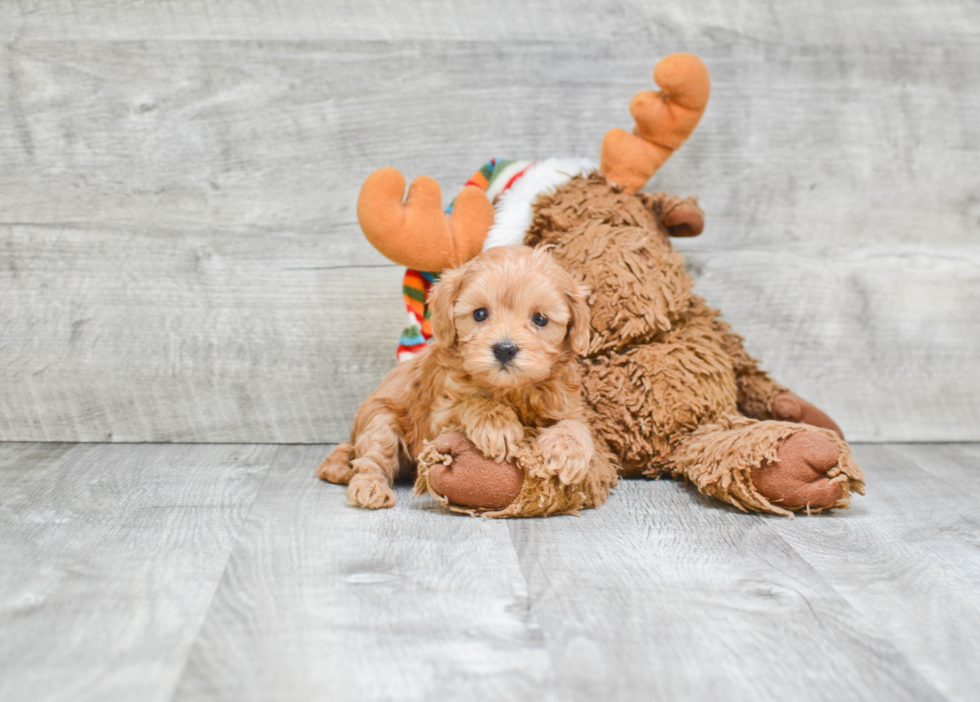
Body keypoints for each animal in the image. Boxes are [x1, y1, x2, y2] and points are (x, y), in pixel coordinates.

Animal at [320, 245, 596, 508]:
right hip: (380, 420)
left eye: (540, 319)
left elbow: (578, 426)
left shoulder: (568, 405)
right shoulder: (434, 419)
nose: (504, 348)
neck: (511, 389)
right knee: (372, 459)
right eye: (480, 314)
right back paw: (370, 488)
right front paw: (497, 424)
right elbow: (471, 401)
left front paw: (567, 450)